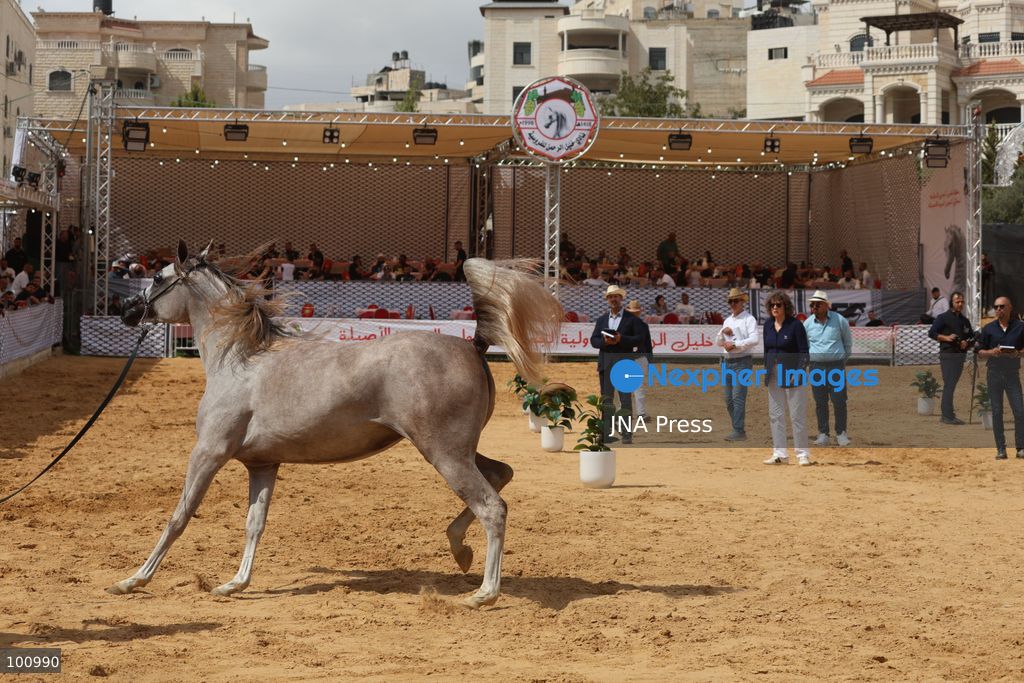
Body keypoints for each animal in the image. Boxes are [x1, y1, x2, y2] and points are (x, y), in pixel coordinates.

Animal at [113, 241, 562, 608]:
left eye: (157, 277)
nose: (126, 310)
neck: (239, 362)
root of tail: (472, 346)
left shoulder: (208, 453)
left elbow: (179, 517)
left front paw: (133, 581)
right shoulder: (262, 464)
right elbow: (254, 524)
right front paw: (234, 584)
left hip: (445, 453)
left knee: (492, 506)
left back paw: (484, 592)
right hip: (458, 451)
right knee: (501, 474)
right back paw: (460, 550)